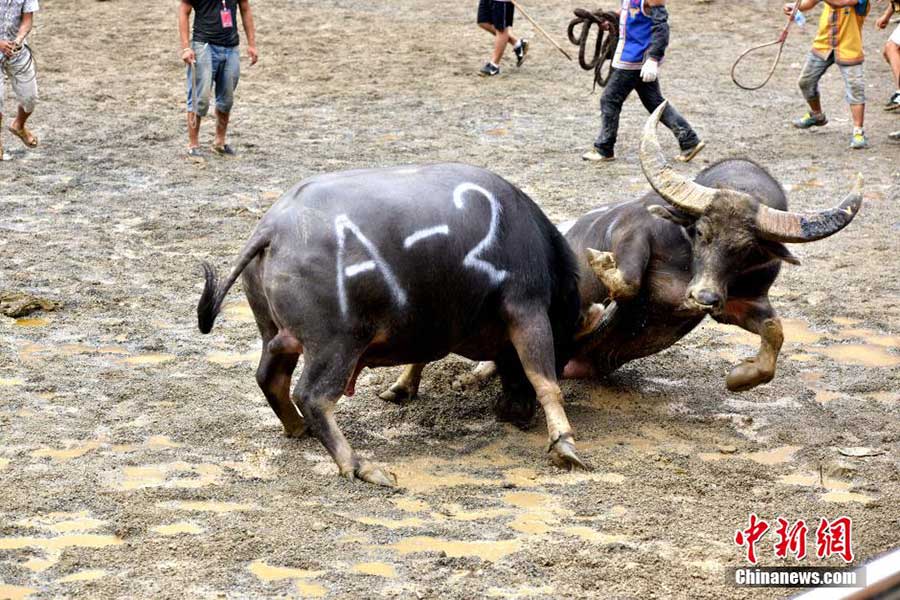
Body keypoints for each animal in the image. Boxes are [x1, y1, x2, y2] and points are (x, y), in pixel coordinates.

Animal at [197, 164, 592, 488]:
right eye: (564, 349)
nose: (514, 412)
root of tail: (272, 228)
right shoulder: (526, 306)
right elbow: (544, 380)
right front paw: (565, 445)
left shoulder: (431, 320)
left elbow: (423, 355)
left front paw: (402, 388)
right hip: (336, 345)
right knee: (312, 396)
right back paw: (359, 465)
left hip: (274, 334)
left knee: (271, 379)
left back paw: (298, 428)